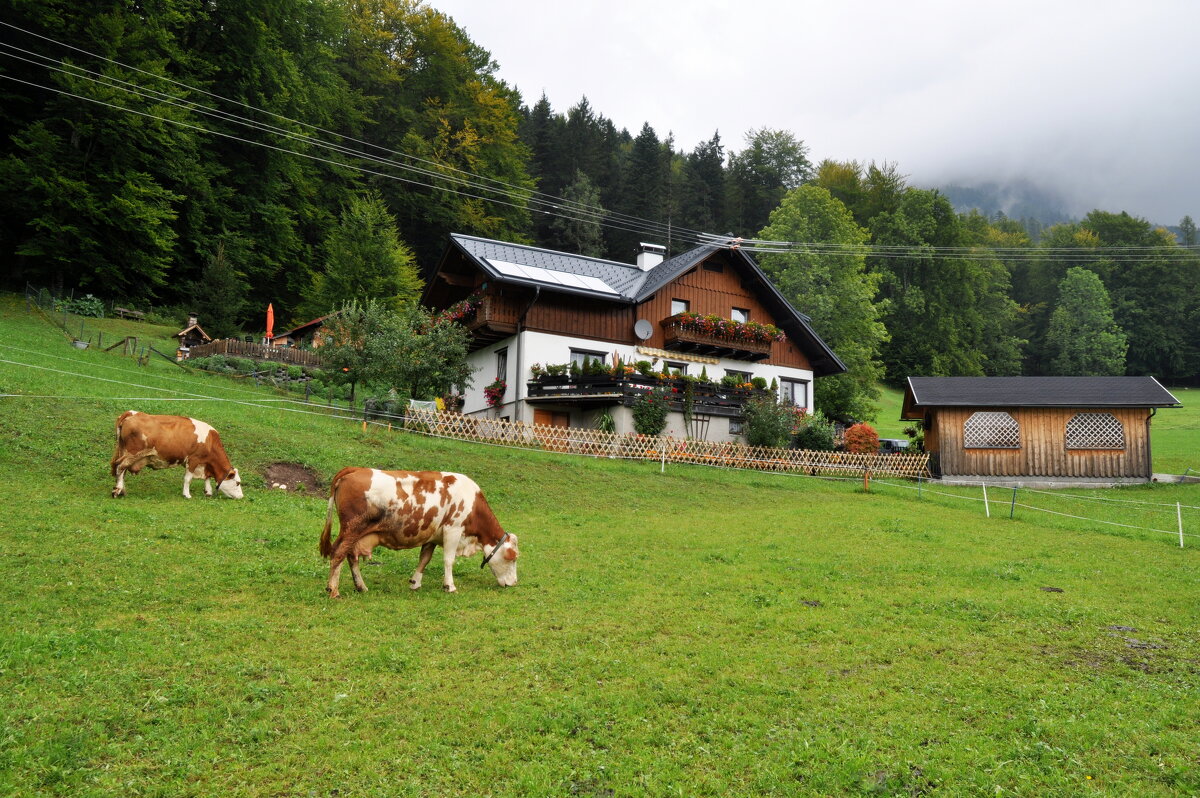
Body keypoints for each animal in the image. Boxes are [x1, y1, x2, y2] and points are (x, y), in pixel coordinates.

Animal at [110, 410, 243, 499]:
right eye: (237, 482)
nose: (241, 496)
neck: (210, 441)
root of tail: (132, 413)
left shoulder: (204, 464)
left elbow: (207, 478)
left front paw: (208, 491)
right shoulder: (193, 459)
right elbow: (188, 479)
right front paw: (187, 494)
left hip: (123, 450)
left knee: (121, 470)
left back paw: (122, 490)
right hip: (132, 453)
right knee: (120, 467)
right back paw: (117, 490)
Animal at [321, 468, 518, 597]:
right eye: (513, 557)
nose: (515, 582)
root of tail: (355, 469)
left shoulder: (431, 536)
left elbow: (424, 559)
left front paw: (415, 582)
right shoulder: (453, 530)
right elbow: (449, 560)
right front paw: (449, 586)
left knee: (351, 556)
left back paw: (361, 587)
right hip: (352, 528)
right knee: (338, 553)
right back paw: (334, 590)